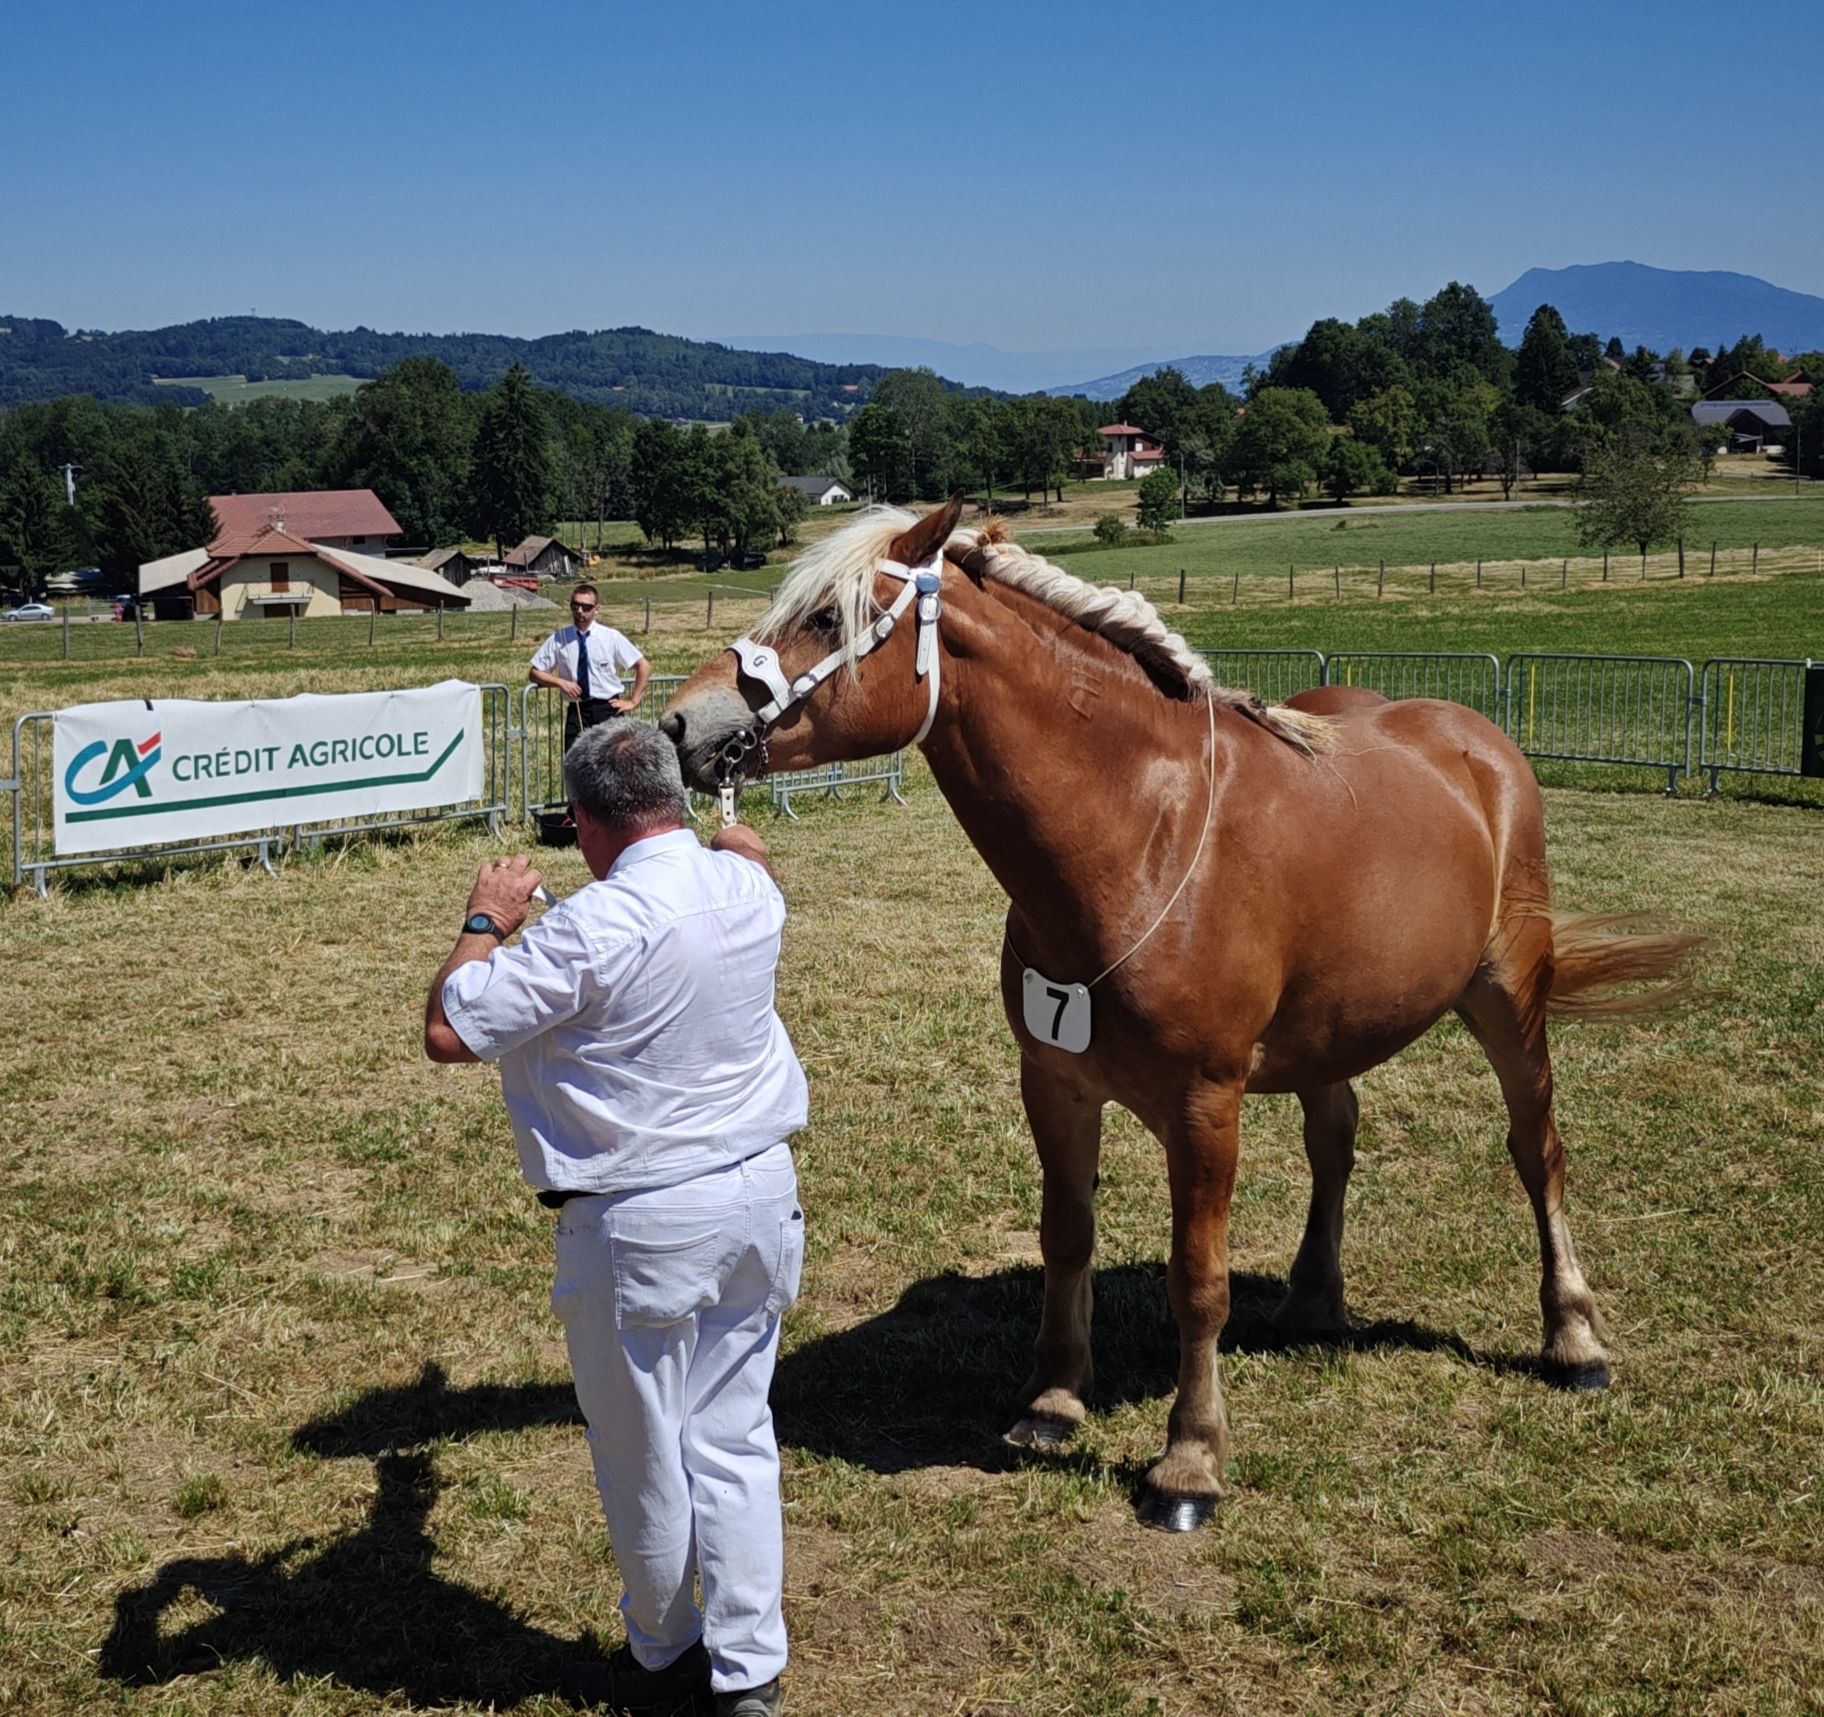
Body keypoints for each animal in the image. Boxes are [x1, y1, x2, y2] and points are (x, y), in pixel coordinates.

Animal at [659, 497, 1700, 1531]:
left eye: (824, 619)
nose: (675, 722)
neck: (1139, 836)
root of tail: (1477, 741)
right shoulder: (1056, 1082)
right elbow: (1065, 1236)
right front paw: (1053, 1398)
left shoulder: (1205, 1107)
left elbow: (1196, 1282)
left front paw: (1189, 1461)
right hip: (1334, 1031)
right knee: (1336, 1139)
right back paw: (1314, 1301)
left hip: (1508, 998)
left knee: (1538, 1152)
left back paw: (1573, 1338)